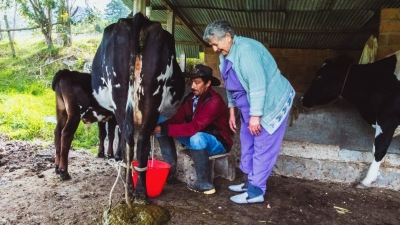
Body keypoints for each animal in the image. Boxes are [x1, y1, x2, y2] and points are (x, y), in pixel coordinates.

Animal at [90, 12, 184, 199]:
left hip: (122, 96)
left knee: (133, 140)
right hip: (146, 99)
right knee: (137, 140)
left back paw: (133, 189)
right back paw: (138, 190)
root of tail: (138, 18)